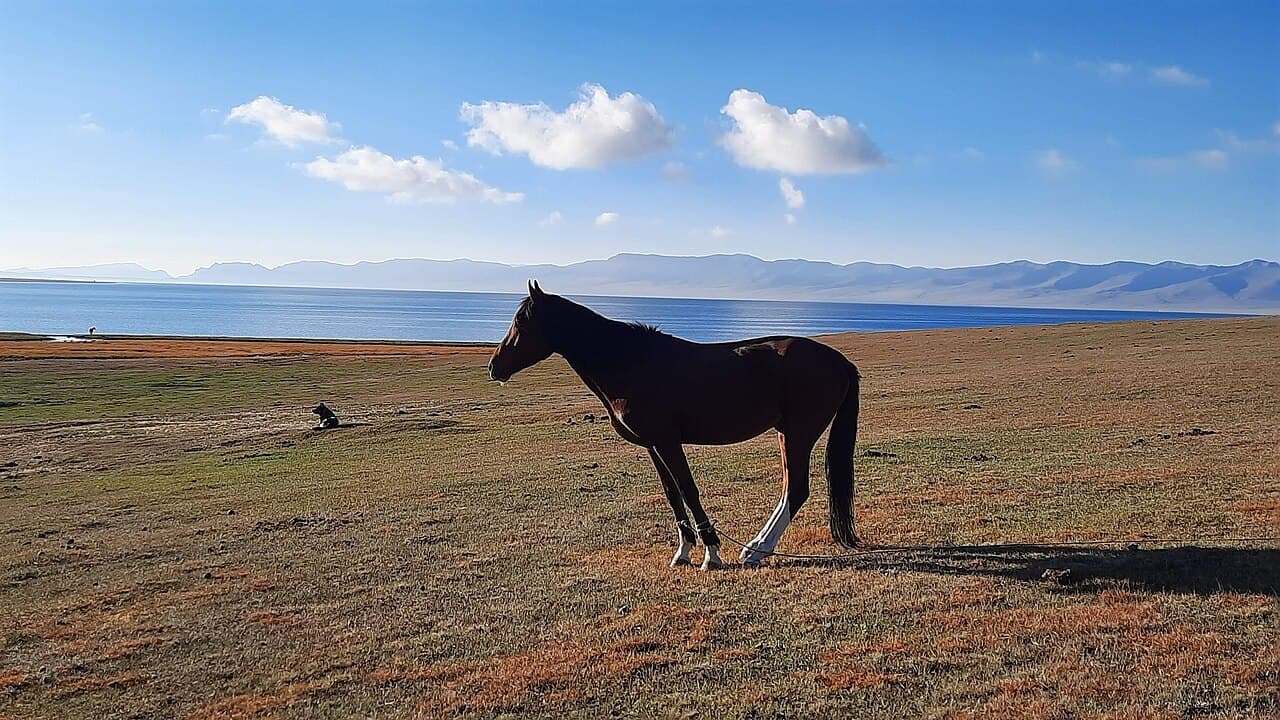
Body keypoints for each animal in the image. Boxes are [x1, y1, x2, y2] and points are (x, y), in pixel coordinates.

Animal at [488, 281, 860, 570]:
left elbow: (689, 490)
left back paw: (757, 550)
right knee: (788, 490)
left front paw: (711, 554)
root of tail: (839, 361)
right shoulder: (653, 444)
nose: (494, 367)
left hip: (799, 433)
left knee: (796, 490)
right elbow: (672, 494)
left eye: (520, 322)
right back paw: (755, 547)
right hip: (786, 433)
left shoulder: (668, 441)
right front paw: (683, 552)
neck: (632, 363)